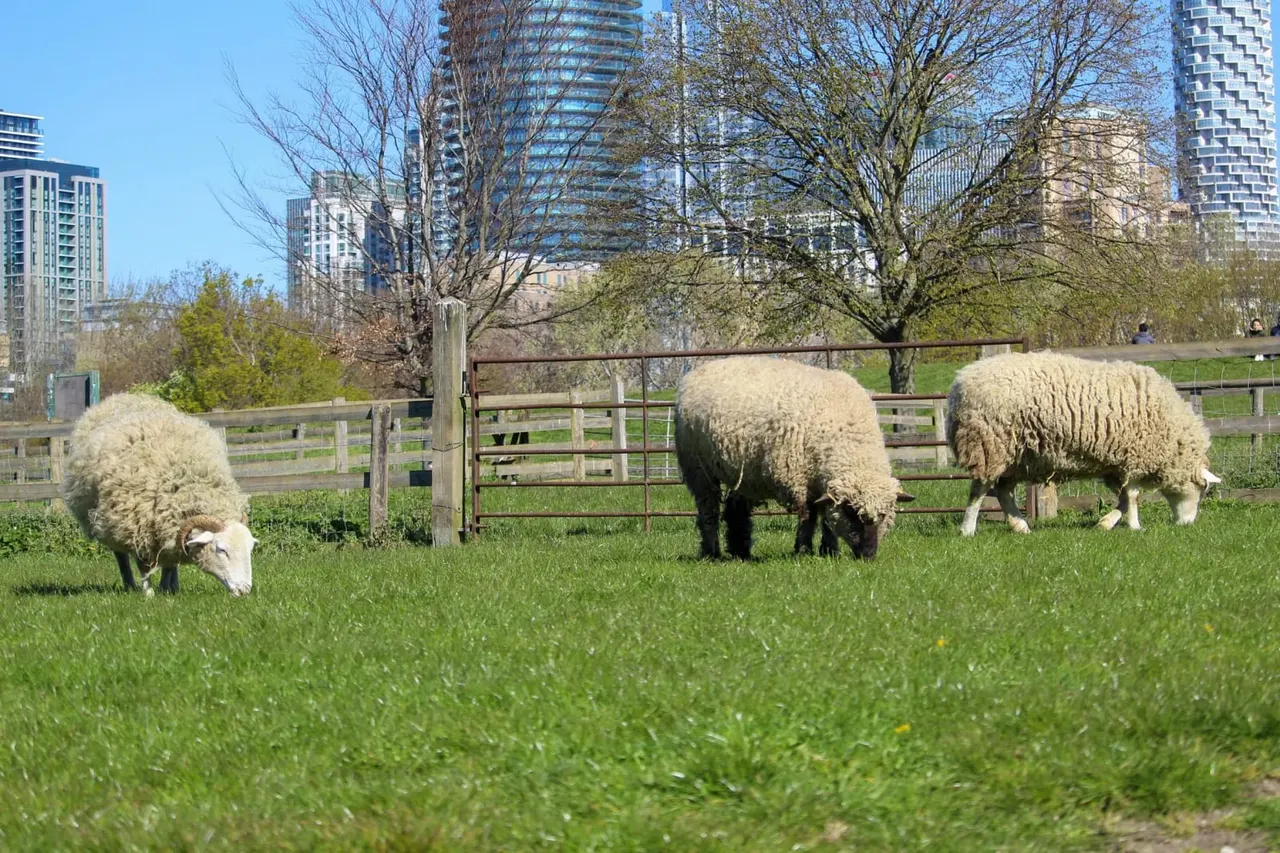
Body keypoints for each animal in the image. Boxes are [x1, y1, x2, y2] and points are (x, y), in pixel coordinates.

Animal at [62, 393, 257, 596]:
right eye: (221, 550)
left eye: (250, 548)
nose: (244, 590)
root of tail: (123, 396)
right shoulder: (138, 527)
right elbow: (144, 566)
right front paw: (148, 593)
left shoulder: (169, 527)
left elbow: (170, 563)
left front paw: (166, 589)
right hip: (110, 521)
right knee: (121, 556)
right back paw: (129, 584)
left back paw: (172, 584)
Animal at [674, 356, 913, 560]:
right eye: (851, 512)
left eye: (884, 515)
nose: (868, 555)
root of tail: (693, 375)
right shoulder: (798, 477)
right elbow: (808, 515)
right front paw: (804, 550)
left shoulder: (820, 481)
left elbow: (826, 518)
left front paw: (829, 551)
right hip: (698, 468)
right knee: (709, 510)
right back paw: (711, 552)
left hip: (742, 471)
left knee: (736, 509)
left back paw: (740, 552)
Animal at [945, 351, 1221, 536]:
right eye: (1202, 488)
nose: (1187, 525)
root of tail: (959, 384)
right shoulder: (1134, 457)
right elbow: (1133, 496)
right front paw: (1135, 526)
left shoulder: (1116, 464)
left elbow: (1124, 498)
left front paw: (1106, 523)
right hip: (989, 445)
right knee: (979, 490)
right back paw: (968, 529)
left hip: (1017, 456)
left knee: (1003, 491)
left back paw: (1021, 525)